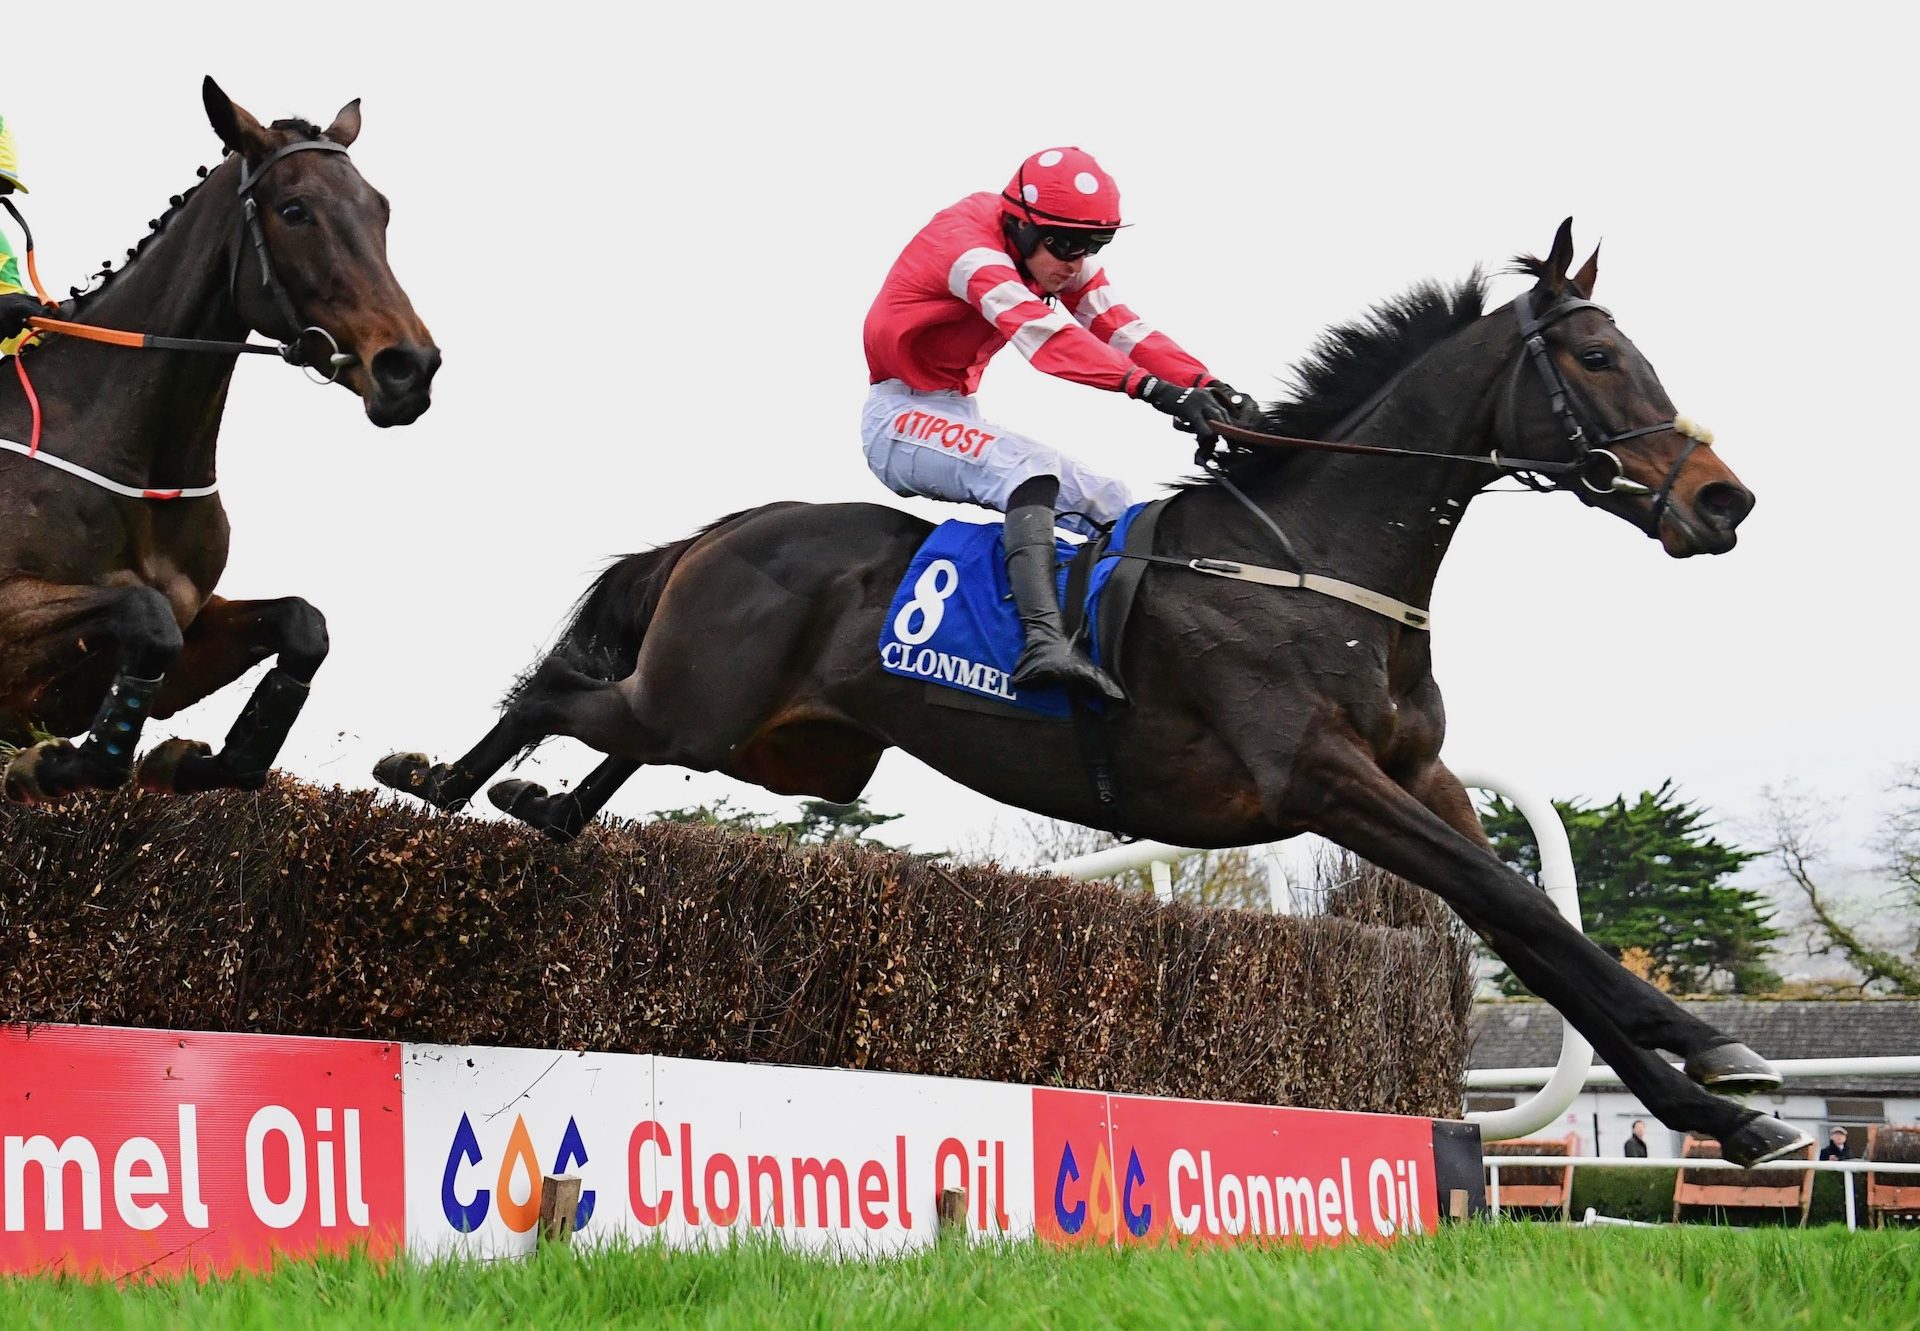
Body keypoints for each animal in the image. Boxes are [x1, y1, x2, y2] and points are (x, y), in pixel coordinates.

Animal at [0, 80, 439, 798]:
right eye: (295, 210)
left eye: (381, 210)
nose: (410, 368)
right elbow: (146, 619)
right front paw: (45, 763)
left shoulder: (187, 631)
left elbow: (300, 623)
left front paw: (194, 760)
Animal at [370, 220, 1797, 1160]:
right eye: (1600, 358)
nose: (1723, 500)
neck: (1314, 563)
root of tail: (724, 529)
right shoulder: (1319, 778)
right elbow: (1517, 903)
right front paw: (1720, 1052)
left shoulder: (1419, 775)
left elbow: (1526, 925)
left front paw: (1721, 1112)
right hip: (704, 702)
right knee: (554, 693)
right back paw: (434, 777)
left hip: (774, 739)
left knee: (612, 741)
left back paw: (545, 809)